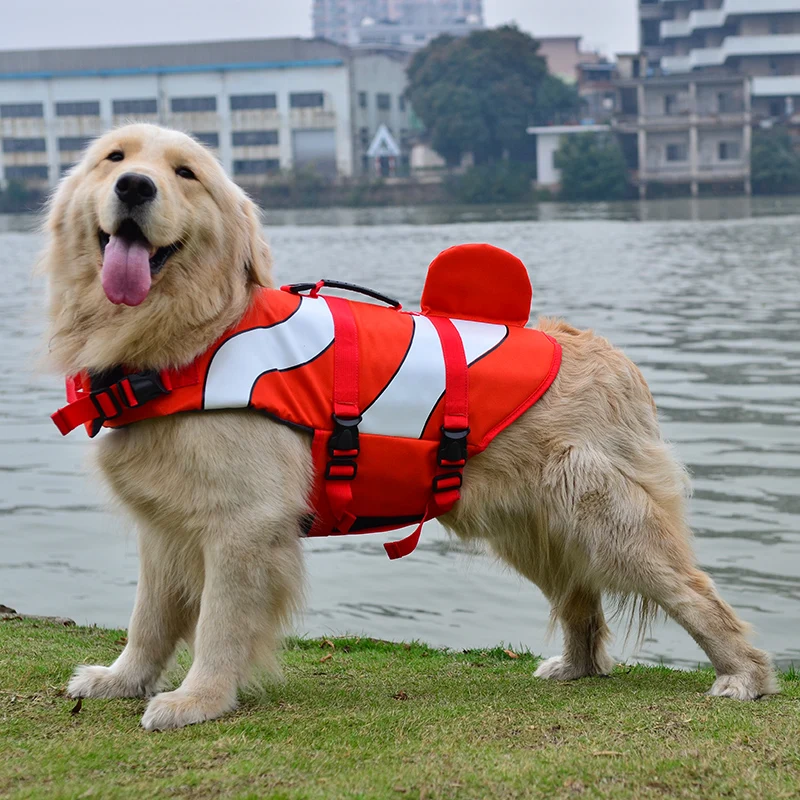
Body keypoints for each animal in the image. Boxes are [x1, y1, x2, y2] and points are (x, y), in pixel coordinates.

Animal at [40, 125, 780, 732]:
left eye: (185, 172)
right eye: (114, 158)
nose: (135, 187)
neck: (187, 339)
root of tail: (611, 354)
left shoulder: (243, 525)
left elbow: (220, 622)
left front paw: (199, 699)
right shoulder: (166, 524)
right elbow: (149, 618)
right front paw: (122, 679)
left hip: (605, 519)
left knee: (694, 592)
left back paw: (744, 675)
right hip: (532, 526)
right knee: (581, 601)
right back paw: (576, 665)